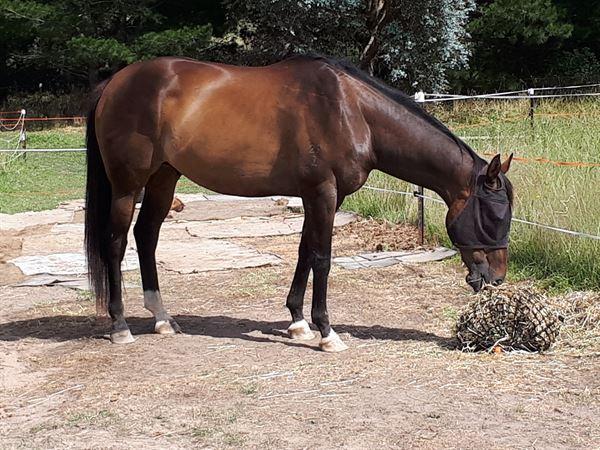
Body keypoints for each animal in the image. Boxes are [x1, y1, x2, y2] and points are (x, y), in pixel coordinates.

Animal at [86, 55, 512, 352]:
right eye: (494, 214)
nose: (496, 278)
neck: (351, 110)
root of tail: (113, 83)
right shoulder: (322, 192)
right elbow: (322, 259)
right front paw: (327, 332)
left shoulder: (321, 197)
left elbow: (305, 252)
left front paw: (298, 322)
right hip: (127, 186)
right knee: (116, 243)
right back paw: (120, 326)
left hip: (164, 178)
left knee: (146, 236)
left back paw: (162, 319)